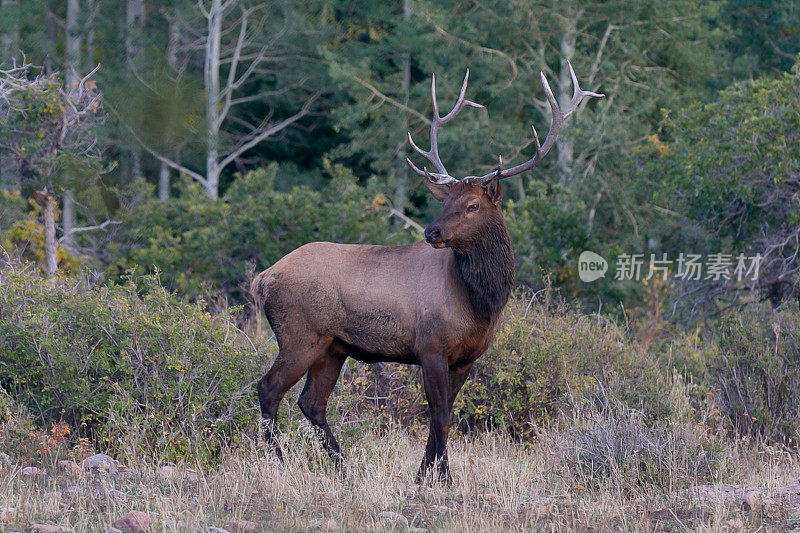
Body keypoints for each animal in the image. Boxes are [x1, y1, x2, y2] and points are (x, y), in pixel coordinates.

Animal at [252, 61, 600, 478]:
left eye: (472, 206)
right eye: (446, 200)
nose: (431, 231)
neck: (481, 303)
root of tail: (263, 278)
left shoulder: (466, 357)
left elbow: (444, 413)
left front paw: (426, 474)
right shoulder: (430, 345)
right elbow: (439, 416)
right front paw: (440, 477)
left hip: (333, 346)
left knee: (311, 402)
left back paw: (343, 468)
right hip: (300, 334)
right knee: (269, 388)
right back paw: (279, 461)